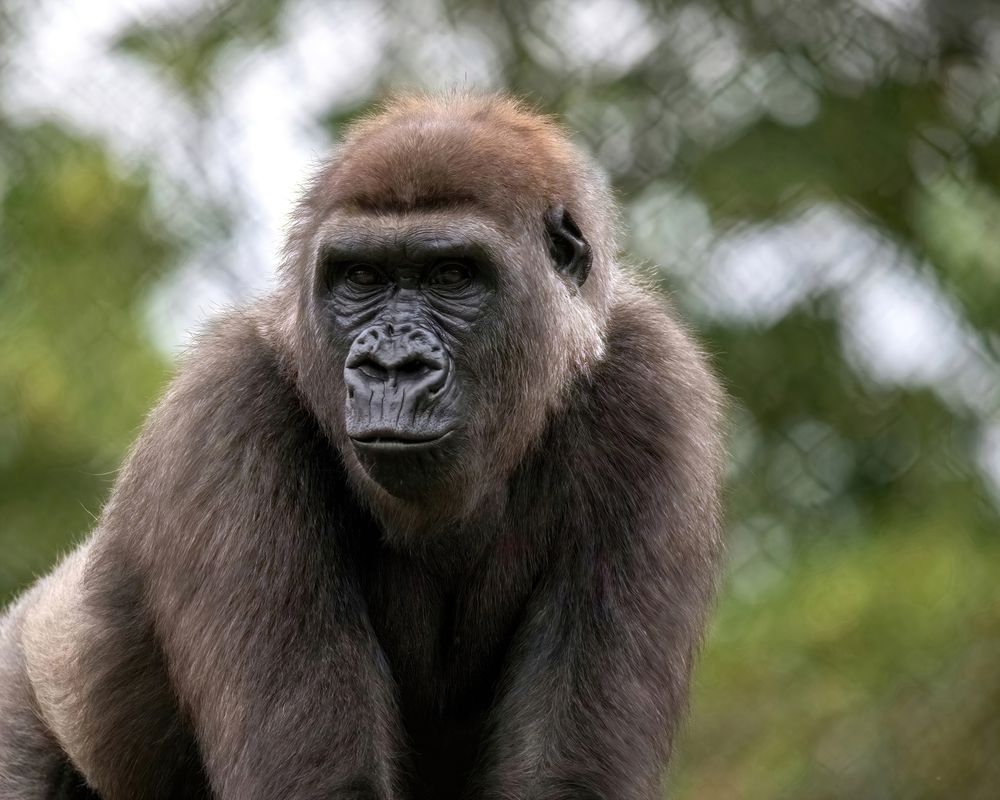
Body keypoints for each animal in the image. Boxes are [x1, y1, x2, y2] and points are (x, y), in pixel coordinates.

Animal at [0, 93, 725, 800]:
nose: (391, 367)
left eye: (451, 275)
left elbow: (564, 778)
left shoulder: (654, 391)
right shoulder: (227, 410)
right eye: (363, 277)